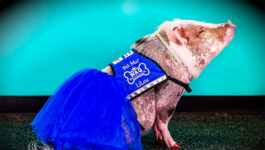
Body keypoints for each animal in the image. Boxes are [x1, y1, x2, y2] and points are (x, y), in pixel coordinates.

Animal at [101, 18, 235, 148]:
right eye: (201, 31)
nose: (230, 23)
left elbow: (157, 122)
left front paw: (159, 139)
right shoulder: (170, 92)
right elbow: (162, 121)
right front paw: (174, 145)